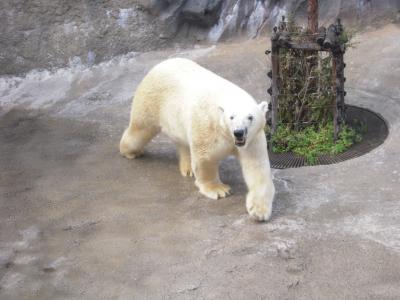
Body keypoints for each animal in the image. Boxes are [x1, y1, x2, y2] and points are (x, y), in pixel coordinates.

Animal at [119, 57, 276, 220]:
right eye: (231, 117)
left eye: (250, 117)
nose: (238, 132)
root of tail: (162, 63)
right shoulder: (207, 126)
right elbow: (205, 158)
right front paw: (219, 190)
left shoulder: (252, 139)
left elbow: (257, 167)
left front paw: (259, 211)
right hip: (151, 99)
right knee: (140, 128)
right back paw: (131, 151)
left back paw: (187, 168)